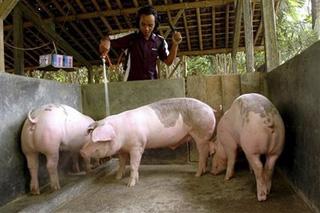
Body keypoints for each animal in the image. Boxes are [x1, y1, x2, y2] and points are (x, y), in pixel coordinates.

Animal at [80, 98, 216, 186]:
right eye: (90, 136)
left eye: (96, 140)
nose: (81, 151)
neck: (120, 133)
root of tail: (210, 108)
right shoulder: (122, 150)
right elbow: (122, 163)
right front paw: (117, 178)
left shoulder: (137, 146)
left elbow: (133, 164)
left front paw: (130, 185)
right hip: (204, 136)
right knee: (210, 148)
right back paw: (204, 171)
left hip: (201, 133)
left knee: (203, 153)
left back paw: (197, 175)